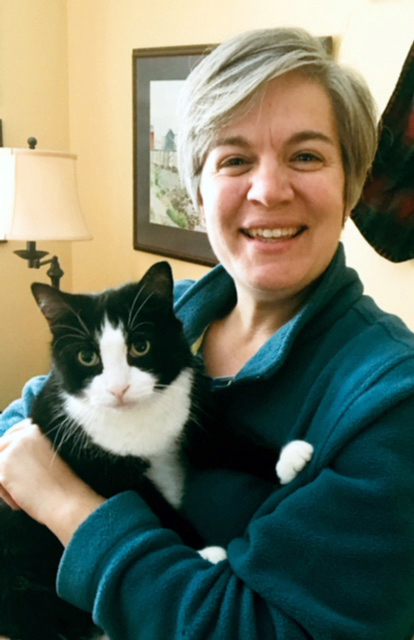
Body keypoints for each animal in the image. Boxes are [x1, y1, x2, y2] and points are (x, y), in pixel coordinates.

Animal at [0, 262, 312, 640]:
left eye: (141, 346)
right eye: (87, 357)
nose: (119, 389)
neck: (137, 420)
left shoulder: (191, 417)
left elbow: (225, 441)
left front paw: (287, 457)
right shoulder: (86, 456)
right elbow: (151, 503)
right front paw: (204, 550)